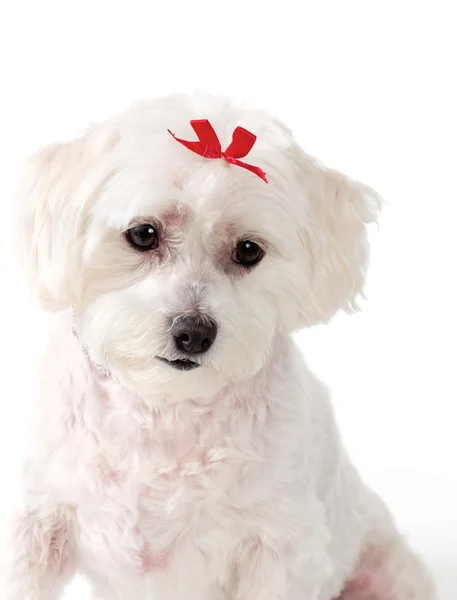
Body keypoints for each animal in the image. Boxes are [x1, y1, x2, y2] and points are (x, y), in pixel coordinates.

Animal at [6, 94, 434, 600]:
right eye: (143, 234)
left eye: (249, 250)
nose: (193, 332)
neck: (164, 414)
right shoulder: (36, 522)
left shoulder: (281, 550)